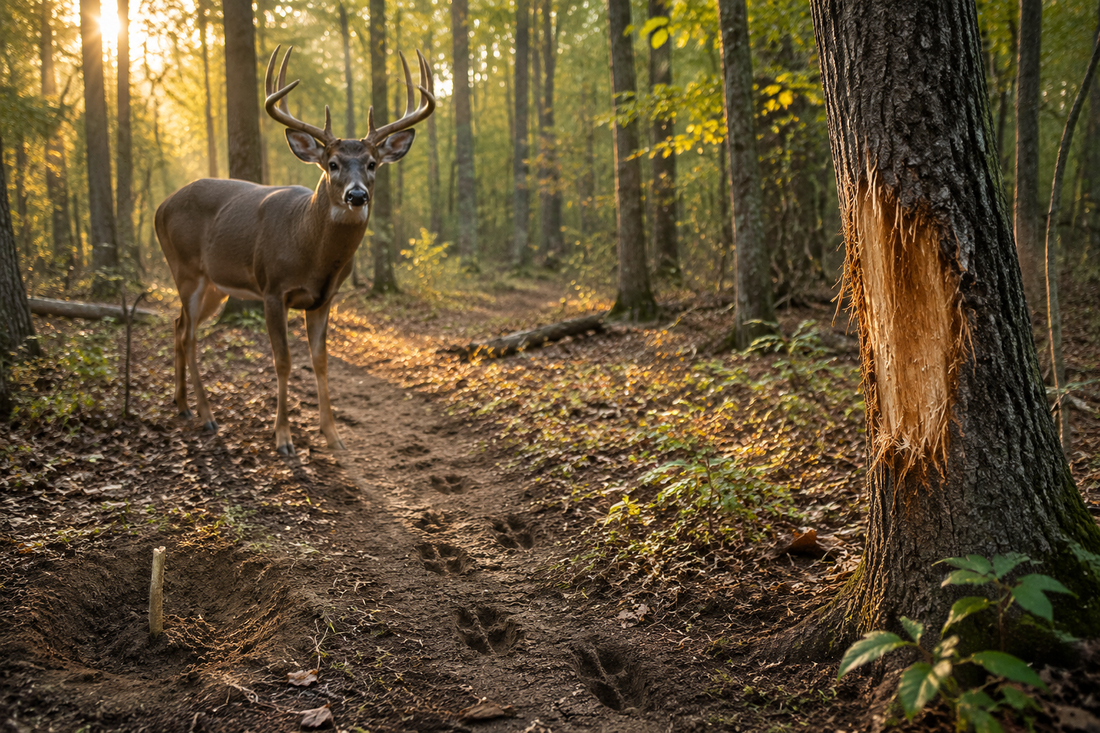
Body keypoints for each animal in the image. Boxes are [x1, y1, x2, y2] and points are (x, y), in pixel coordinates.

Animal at [155, 45, 435, 455]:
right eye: (332, 163)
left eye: (372, 163)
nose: (356, 195)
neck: (312, 253)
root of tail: (160, 207)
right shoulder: (273, 289)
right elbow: (283, 361)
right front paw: (284, 438)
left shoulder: (324, 298)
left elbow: (320, 361)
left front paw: (333, 436)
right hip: (185, 269)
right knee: (189, 334)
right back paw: (207, 415)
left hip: (215, 286)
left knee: (178, 326)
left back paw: (182, 405)